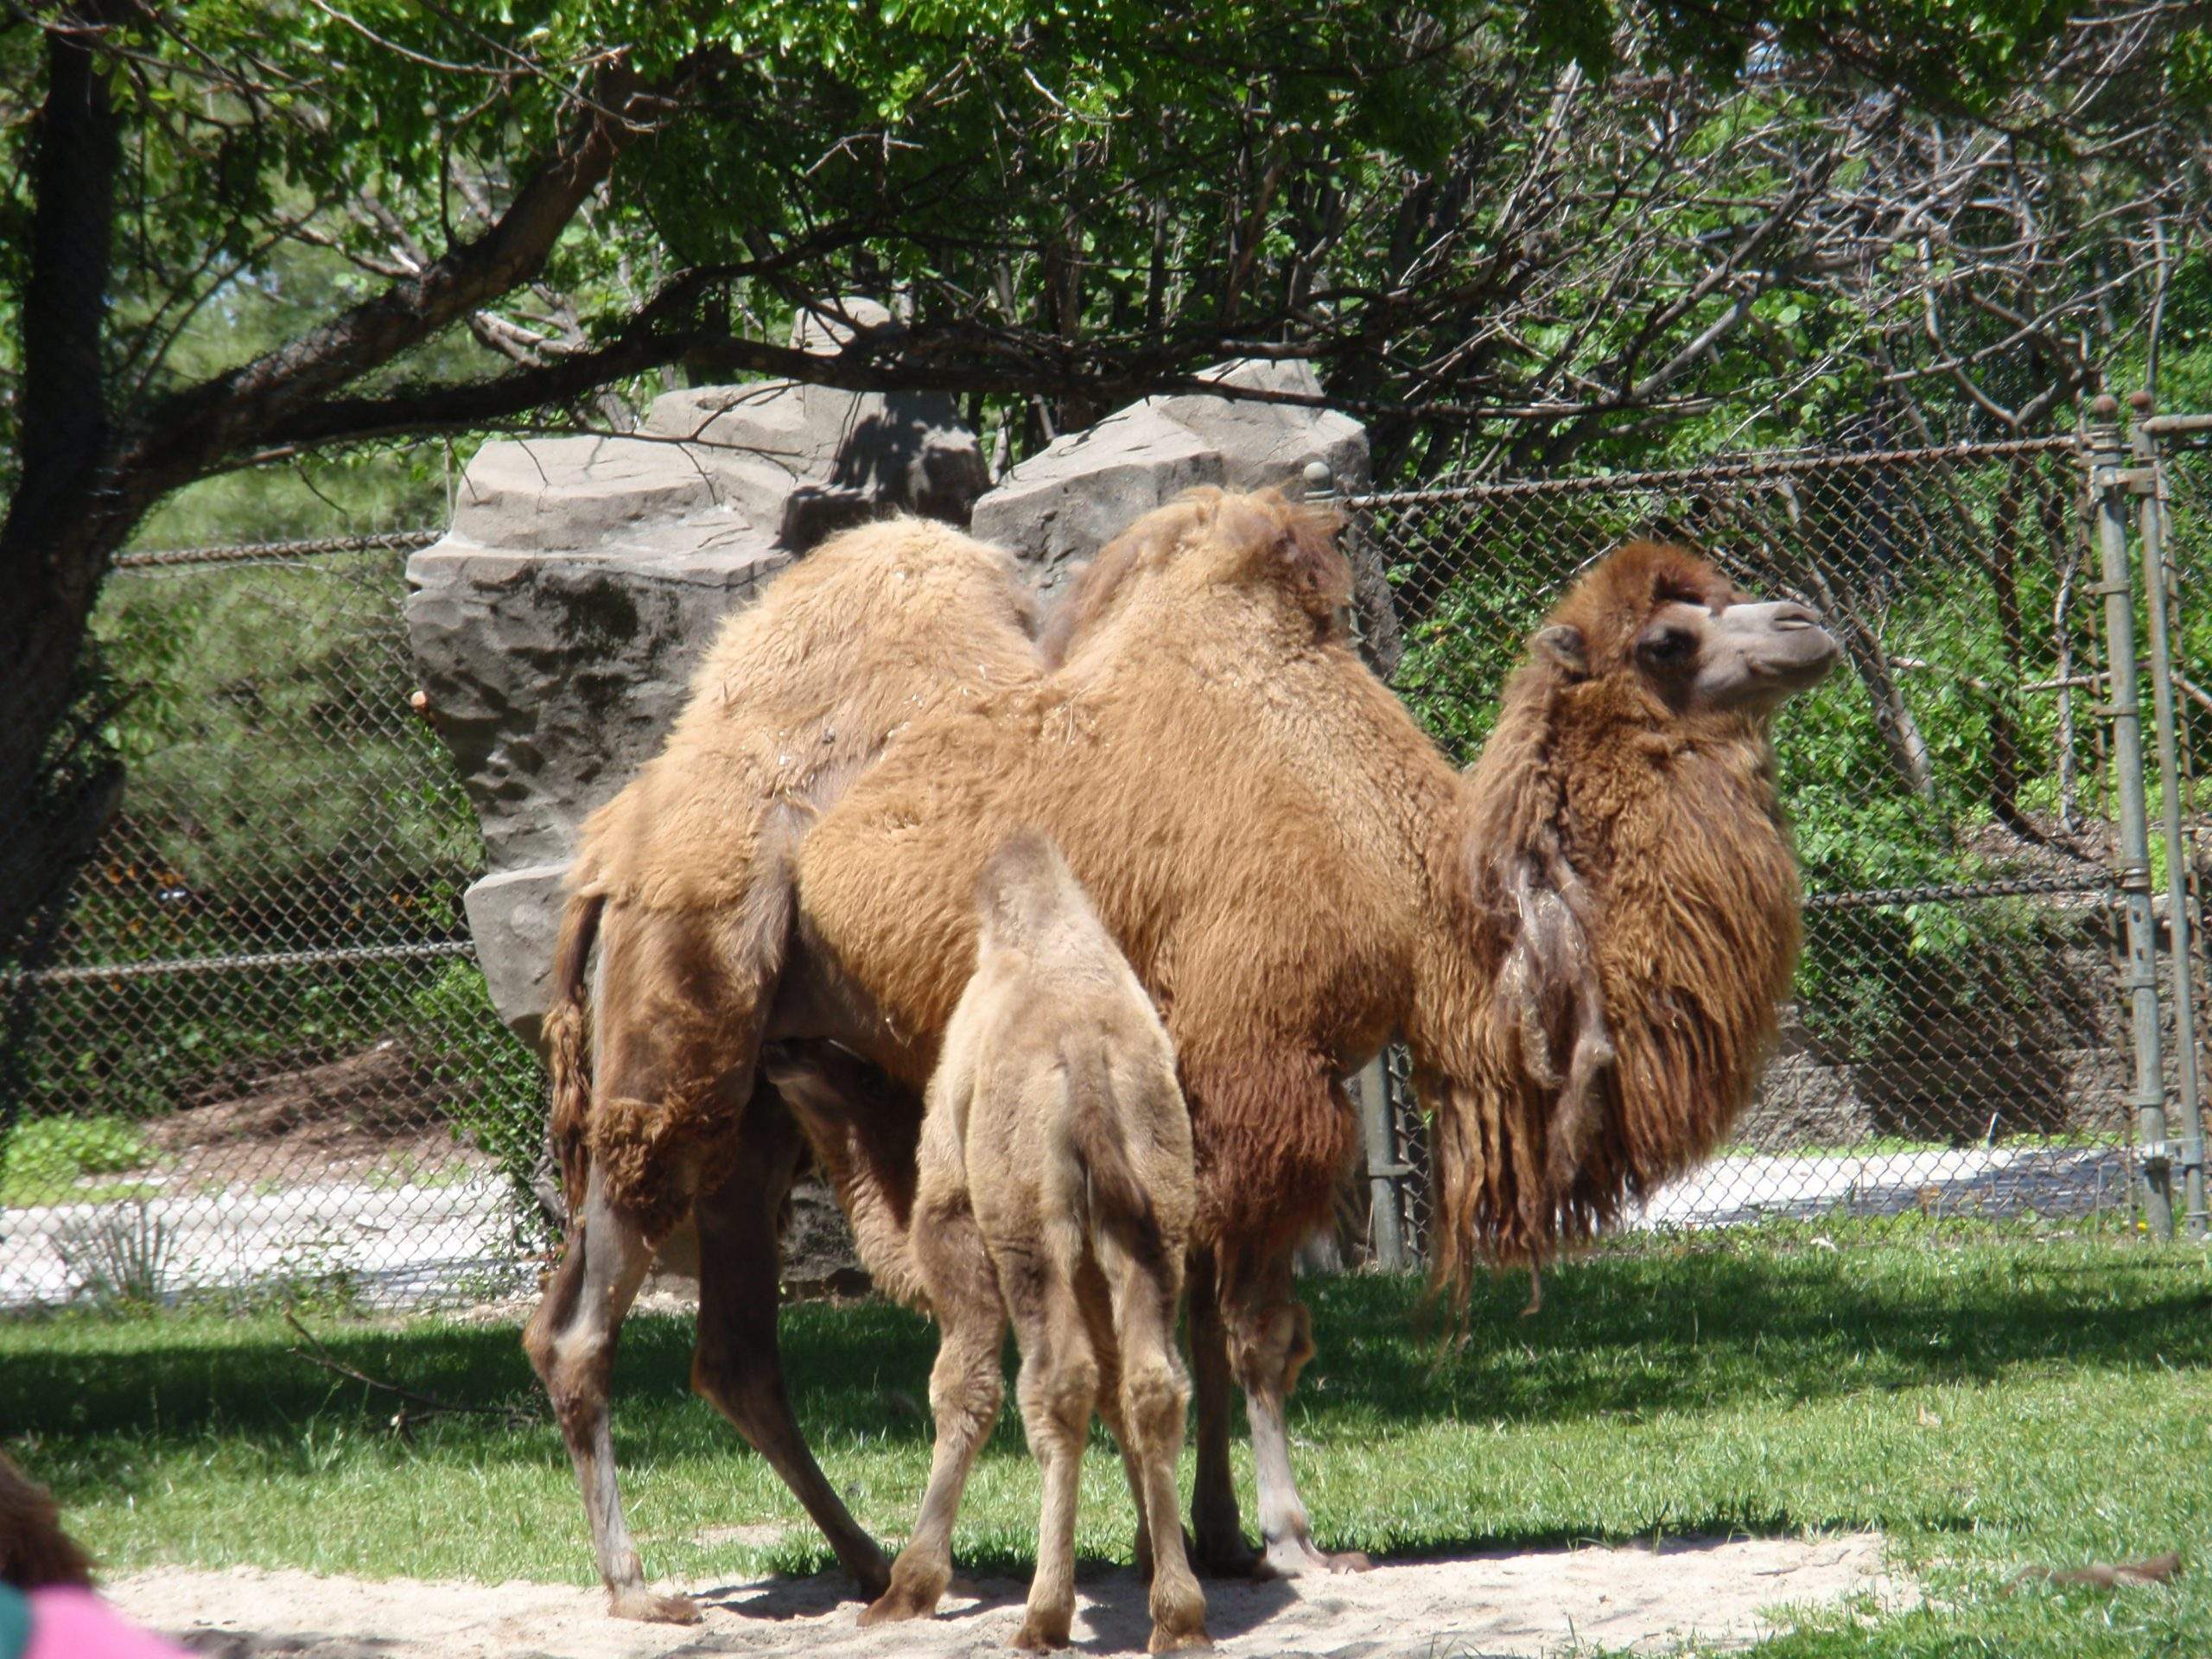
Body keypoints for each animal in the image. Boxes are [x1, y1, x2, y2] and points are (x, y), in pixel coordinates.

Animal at [854, 830, 1207, 1654]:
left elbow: (962, 1382)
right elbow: (1120, 1388)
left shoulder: (951, 1207)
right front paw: (1151, 1555)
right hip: (1157, 1215)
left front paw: (910, 1584)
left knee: (1057, 1381)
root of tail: (1086, 1063)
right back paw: (1179, 1616)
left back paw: (1044, 1616)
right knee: (1151, 1381)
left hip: (1025, 1228)